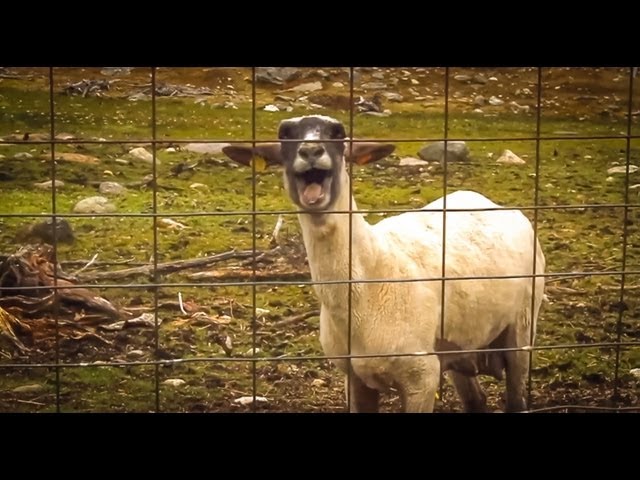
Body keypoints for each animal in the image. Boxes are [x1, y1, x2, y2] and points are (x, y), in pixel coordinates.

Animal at [222, 115, 546, 413]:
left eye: (338, 134)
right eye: (286, 135)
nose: (311, 151)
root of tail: (489, 201)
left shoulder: (422, 376)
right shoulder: (355, 377)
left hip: (522, 326)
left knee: (516, 396)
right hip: (462, 341)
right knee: (476, 401)